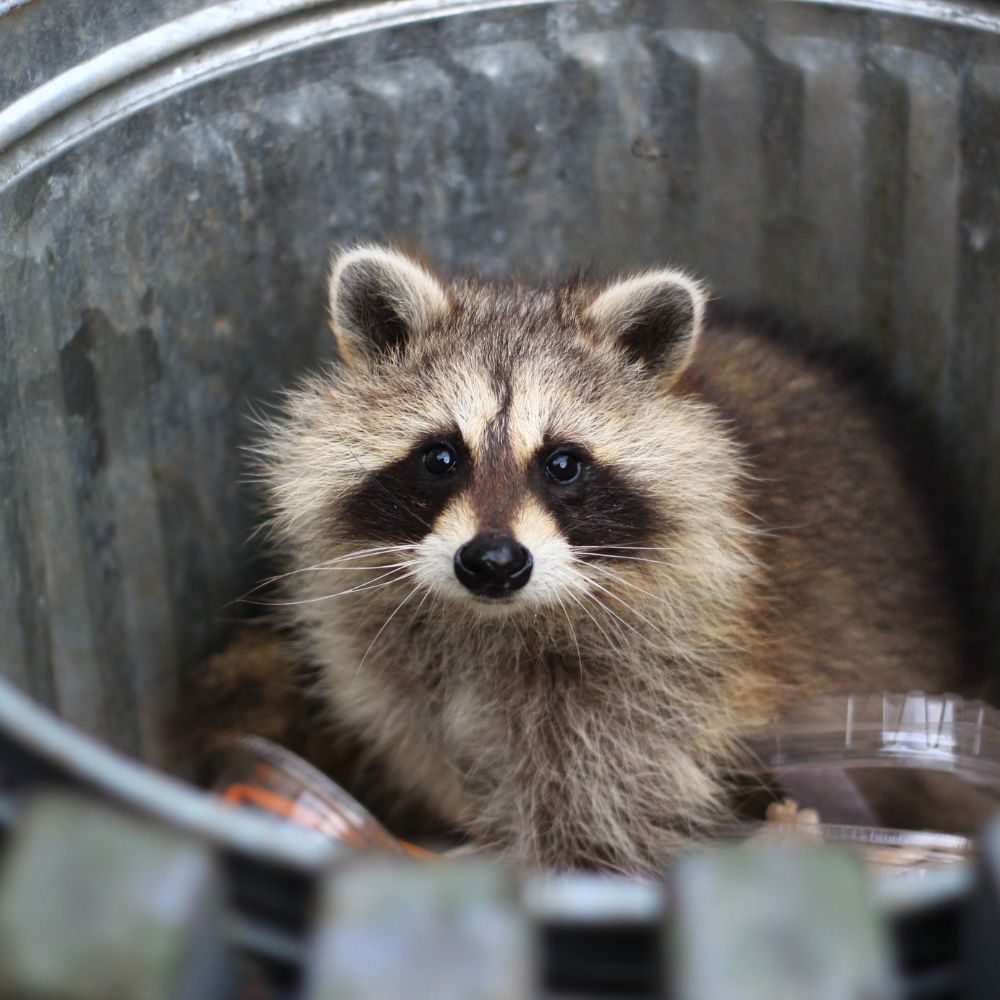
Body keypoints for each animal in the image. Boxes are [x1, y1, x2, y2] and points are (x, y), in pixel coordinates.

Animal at [201, 246, 968, 872]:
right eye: (440, 458)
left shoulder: (656, 685)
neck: (492, 622)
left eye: (563, 464)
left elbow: (597, 815)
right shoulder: (391, 667)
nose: (493, 562)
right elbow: (433, 749)